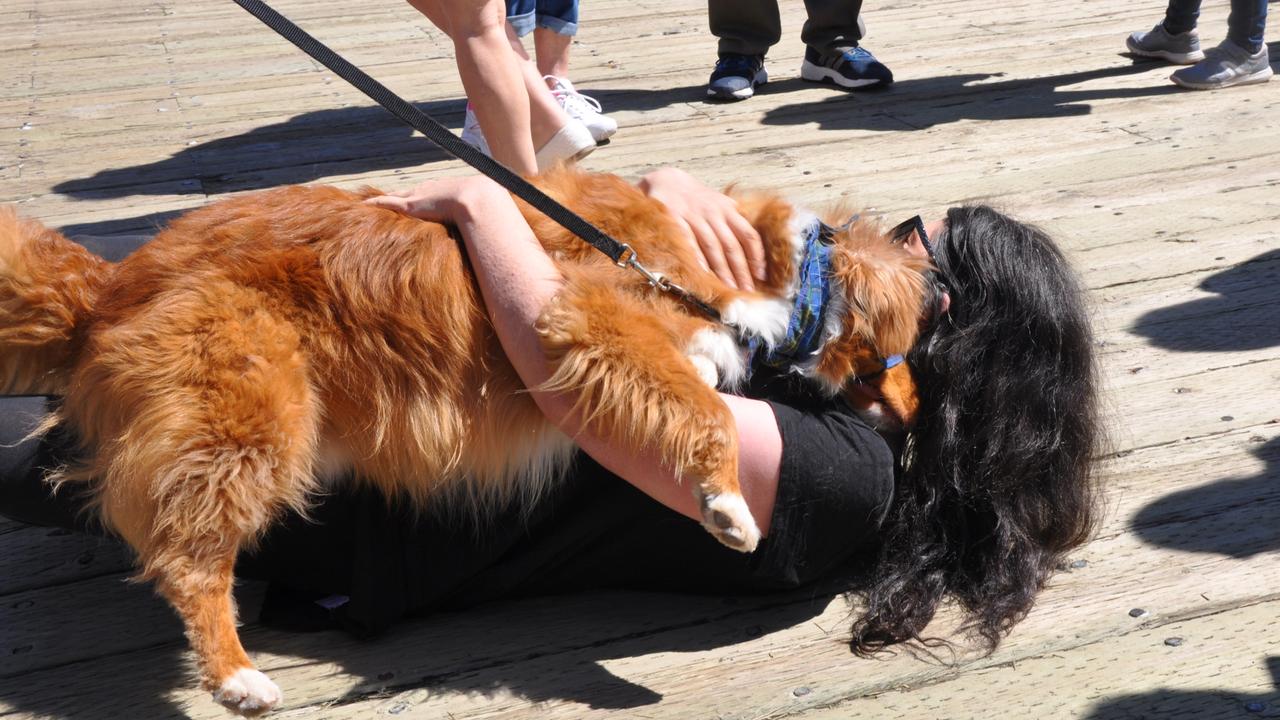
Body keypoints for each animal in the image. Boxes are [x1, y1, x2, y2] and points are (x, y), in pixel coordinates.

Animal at [5, 167, 936, 712]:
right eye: (914, 345)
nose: (919, 415)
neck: (779, 271)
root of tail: (109, 285)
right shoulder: (591, 321)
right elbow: (700, 408)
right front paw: (727, 505)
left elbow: (691, 394)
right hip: (248, 421)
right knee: (186, 560)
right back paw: (236, 675)